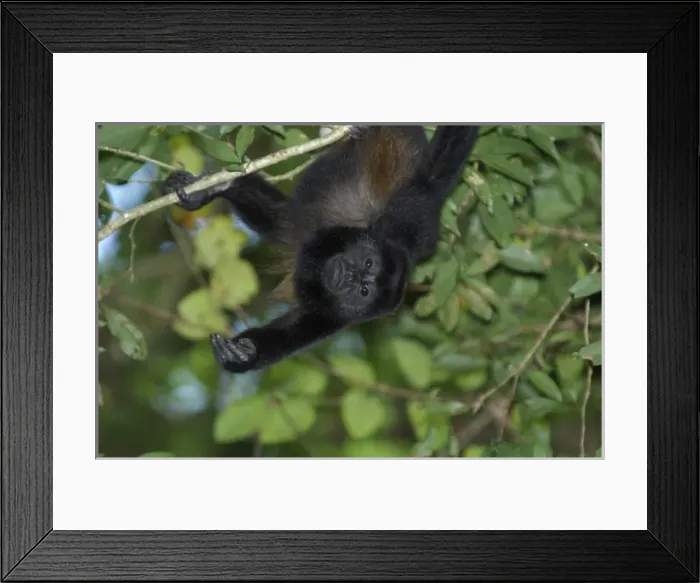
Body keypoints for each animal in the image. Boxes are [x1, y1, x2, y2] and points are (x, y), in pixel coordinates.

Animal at [163, 125, 480, 374]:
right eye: (368, 264)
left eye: (364, 291)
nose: (352, 275)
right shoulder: (406, 217)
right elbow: (436, 172)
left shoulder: (338, 317)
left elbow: (294, 330)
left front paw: (245, 354)